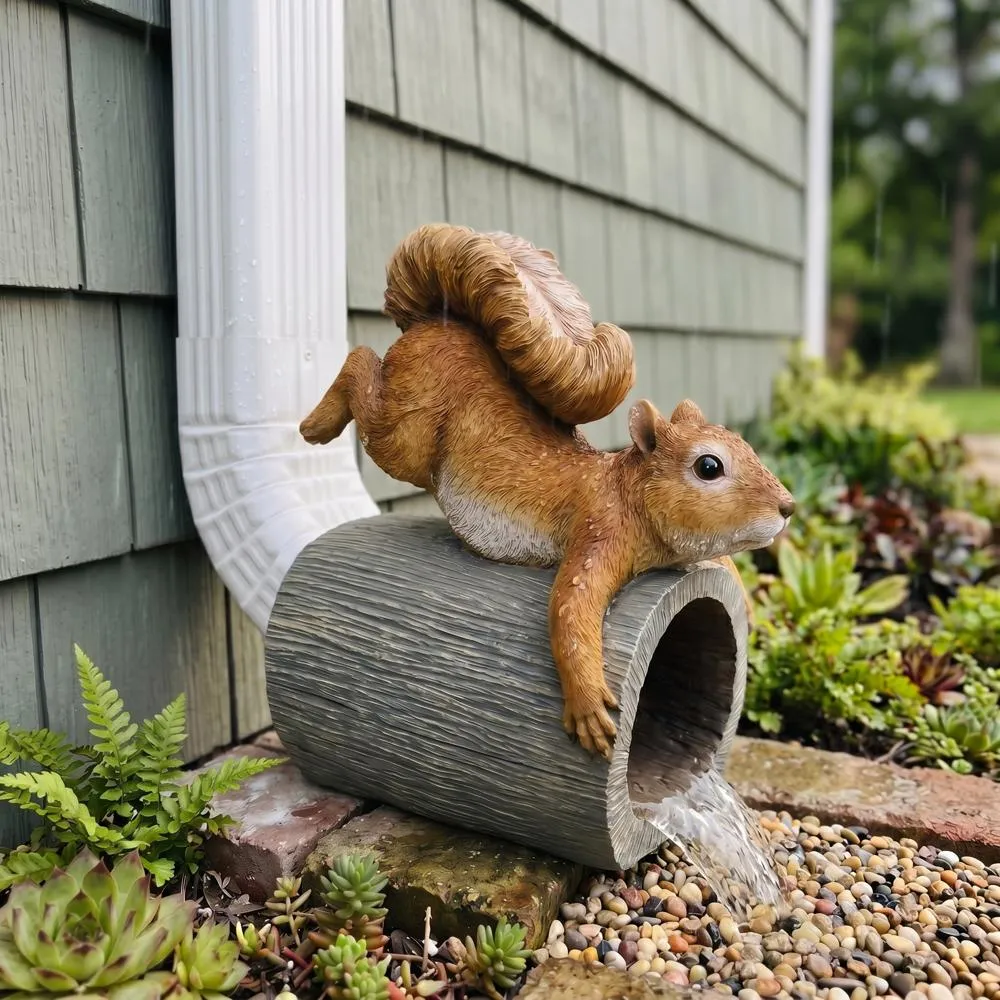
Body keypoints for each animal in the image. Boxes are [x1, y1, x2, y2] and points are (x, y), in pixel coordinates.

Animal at [299, 223, 795, 759]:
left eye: (744, 442)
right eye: (709, 466)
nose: (788, 507)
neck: (626, 492)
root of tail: (435, 323)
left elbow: (720, 561)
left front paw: (748, 606)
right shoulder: (599, 528)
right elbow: (569, 609)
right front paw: (588, 708)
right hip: (405, 426)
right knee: (361, 367)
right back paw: (316, 422)